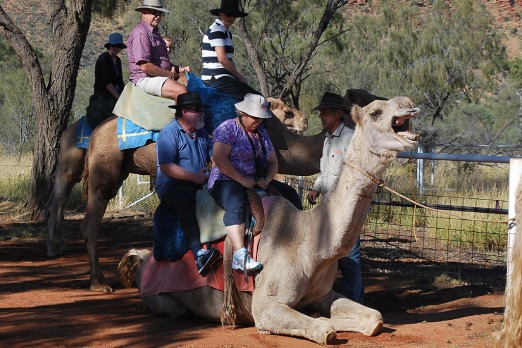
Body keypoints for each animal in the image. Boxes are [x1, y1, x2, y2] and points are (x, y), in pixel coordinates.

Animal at [118, 96, 418, 344]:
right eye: (375, 112)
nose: (408, 104)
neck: (309, 242)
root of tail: (144, 260)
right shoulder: (265, 306)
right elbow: (324, 329)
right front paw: (320, 320)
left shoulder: (323, 294)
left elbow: (374, 318)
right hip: (162, 298)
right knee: (176, 308)